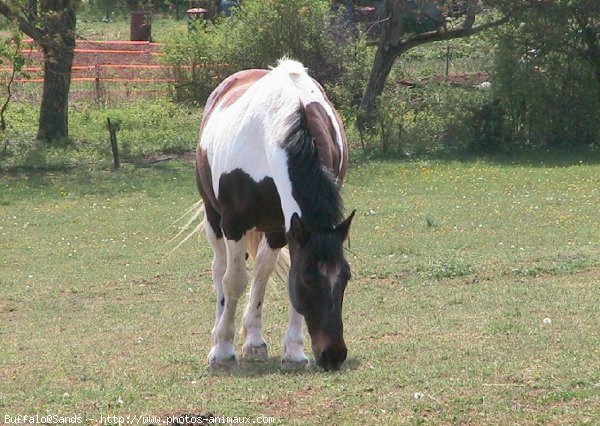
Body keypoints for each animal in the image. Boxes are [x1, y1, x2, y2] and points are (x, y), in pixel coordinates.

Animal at [195, 58, 354, 372]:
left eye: (345, 277)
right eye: (308, 280)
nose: (333, 355)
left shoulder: (285, 227)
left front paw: (293, 351)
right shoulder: (233, 223)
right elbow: (233, 281)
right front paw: (223, 350)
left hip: (270, 228)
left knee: (261, 272)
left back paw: (254, 340)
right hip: (213, 218)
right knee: (220, 270)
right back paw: (218, 334)